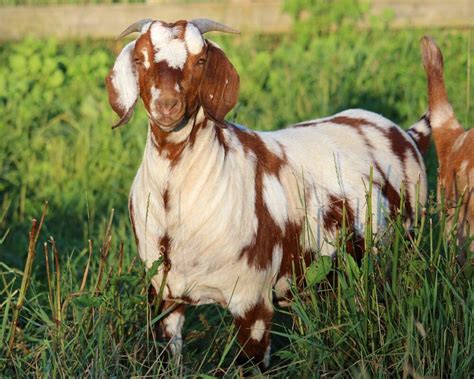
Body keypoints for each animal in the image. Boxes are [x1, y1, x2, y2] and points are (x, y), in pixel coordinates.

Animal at [105, 18, 432, 372]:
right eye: (139, 58)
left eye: (201, 60)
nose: (167, 105)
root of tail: (406, 135)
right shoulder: (163, 293)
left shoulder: (252, 301)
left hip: (402, 247)